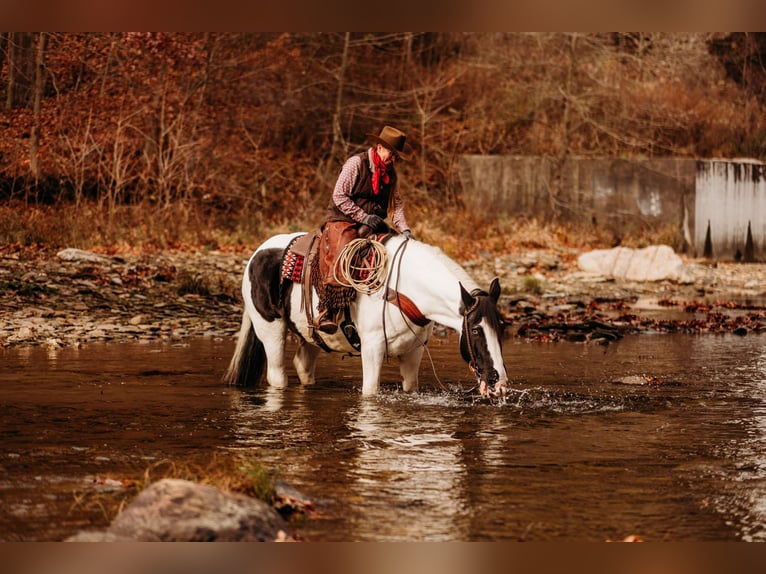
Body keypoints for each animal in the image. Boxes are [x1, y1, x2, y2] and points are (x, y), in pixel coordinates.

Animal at [222, 232, 510, 398]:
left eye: (502, 328)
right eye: (475, 329)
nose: (499, 382)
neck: (403, 287)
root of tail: (257, 253)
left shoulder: (413, 351)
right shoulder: (372, 348)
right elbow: (370, 392)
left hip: (311, 336)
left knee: (303, 366)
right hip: (270, 330)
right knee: (277, 375)